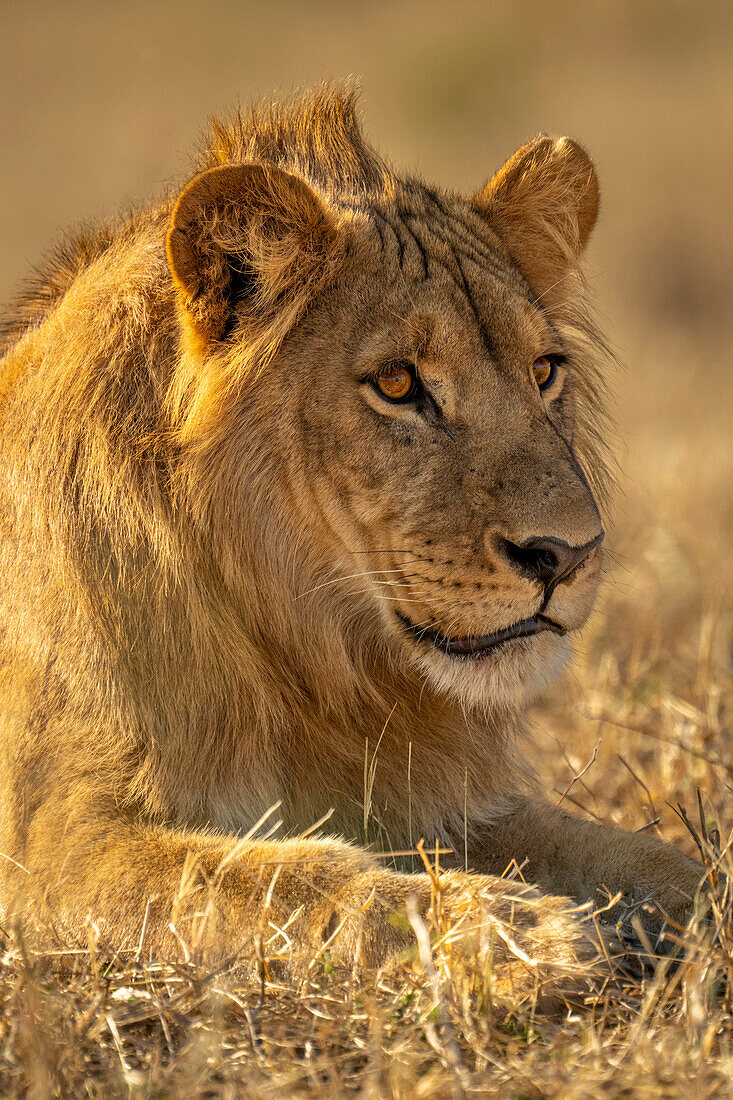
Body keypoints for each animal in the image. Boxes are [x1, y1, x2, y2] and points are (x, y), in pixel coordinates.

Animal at [0, 83, 699, 981]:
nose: (567, 554)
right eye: (398, 384)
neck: (307, 656)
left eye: (544, 371)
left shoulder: (434, 797)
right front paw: (517, 935)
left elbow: (643, 857)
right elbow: (275, 881)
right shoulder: (46, 847)